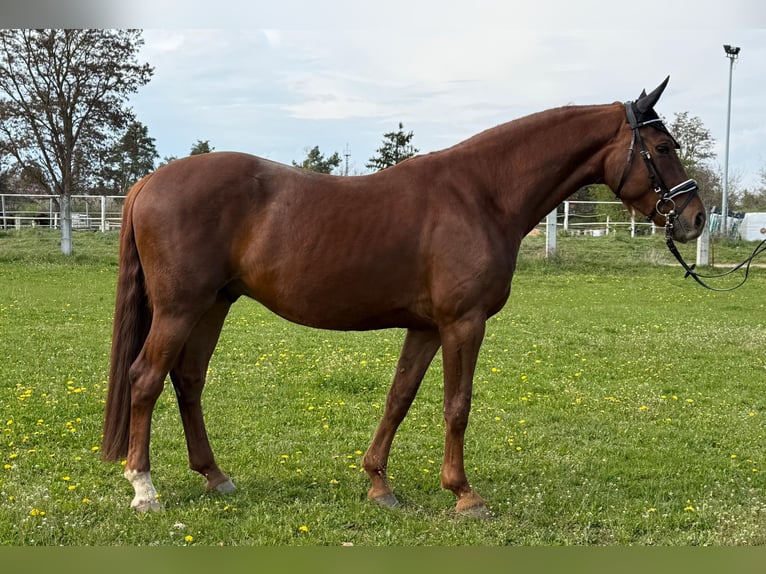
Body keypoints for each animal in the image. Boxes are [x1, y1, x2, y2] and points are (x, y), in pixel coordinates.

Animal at [101, 77, 706, 516]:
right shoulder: (463, 322)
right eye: (662, 146)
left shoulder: (427, 327)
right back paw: (144, 488)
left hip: (213, 305)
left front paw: (379, 485)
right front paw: (464, 494)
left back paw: (215, 476)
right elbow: (457, 405)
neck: (481, 193)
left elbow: (400, 398)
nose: (695, 218)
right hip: (180, 309)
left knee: (188, 381)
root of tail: (148, 182)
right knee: (146, 379)